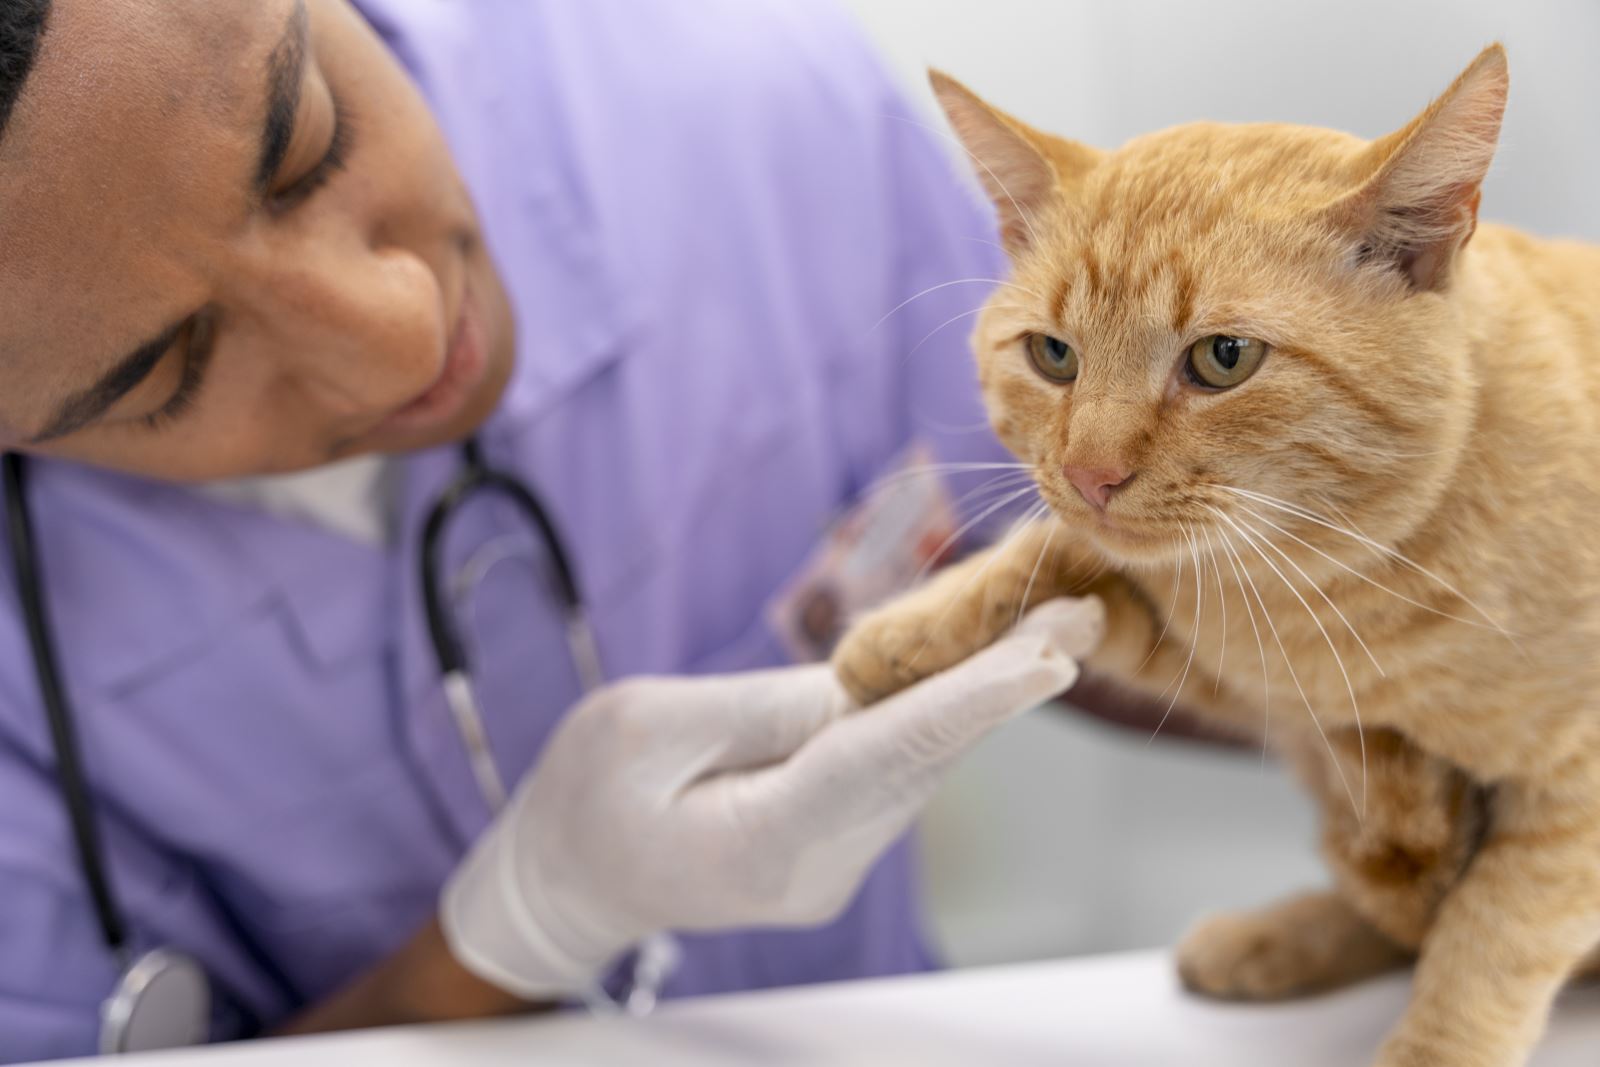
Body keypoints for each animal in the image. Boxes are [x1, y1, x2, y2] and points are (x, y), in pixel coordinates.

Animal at [832, 45, 1600, 1062]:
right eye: (1053, 356)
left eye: (1223, 358)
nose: (1091, 473)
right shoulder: (1249, 686)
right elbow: (1056, 561)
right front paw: (906, 629)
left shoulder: (1575, 788)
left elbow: (1495, 932)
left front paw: (1435, 1046)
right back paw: (1275, 937)